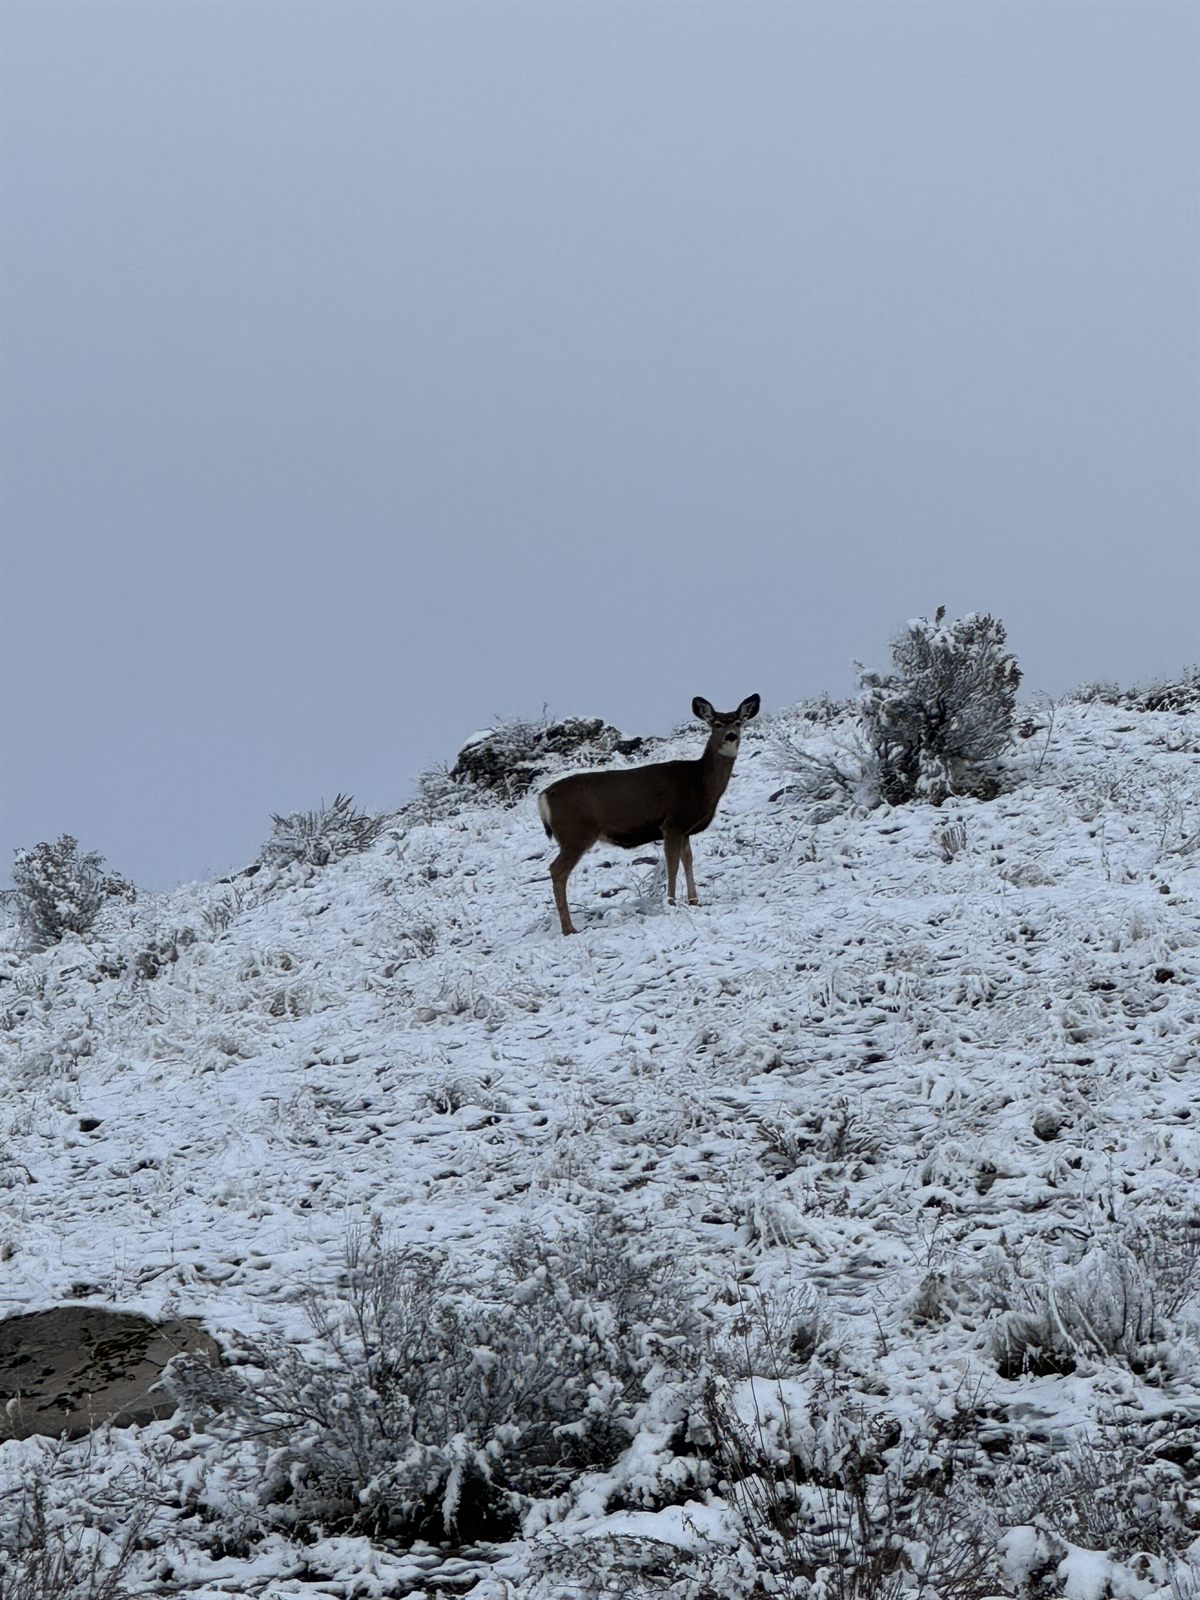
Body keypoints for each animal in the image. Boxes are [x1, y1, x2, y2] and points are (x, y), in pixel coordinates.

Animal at [537, 694, 761, 935]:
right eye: (717, 724)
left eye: (738, 722)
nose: (731, 736)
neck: (700, 783)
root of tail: (543, 797)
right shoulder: (672, 823)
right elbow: (672, 864)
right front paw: (671, 902)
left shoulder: (685, 830)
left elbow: (688, 860)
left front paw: (694, 901)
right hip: (576, 833)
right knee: (557, 870)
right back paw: (569, 928)